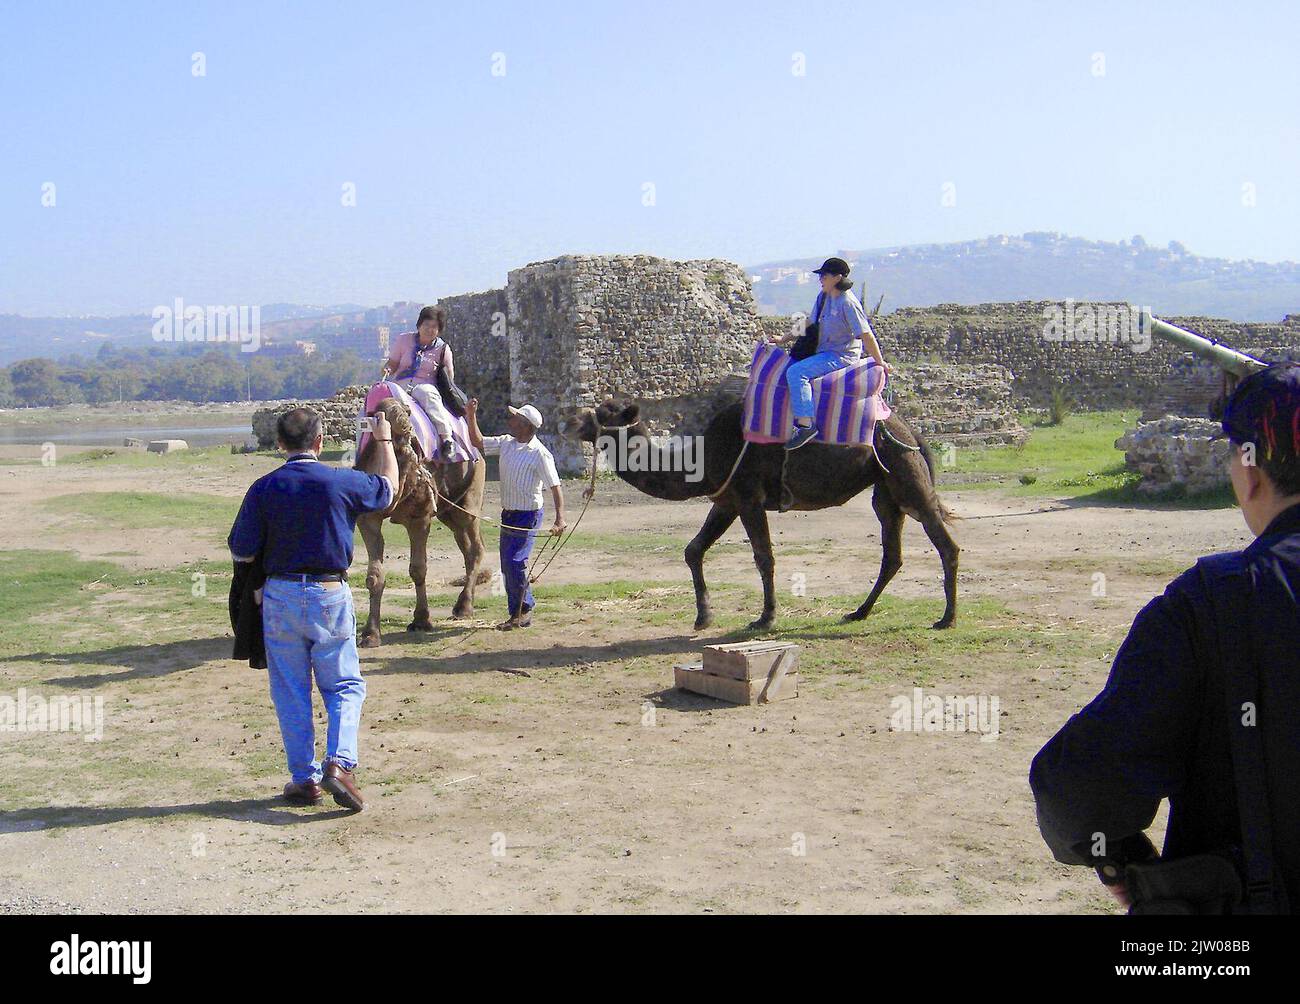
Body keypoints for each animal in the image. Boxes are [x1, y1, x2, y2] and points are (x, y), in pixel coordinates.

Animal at [356, 395, 488, 647]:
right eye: (388, 424)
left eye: (407, 418)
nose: (407, 428)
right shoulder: (368, 519)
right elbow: (374, 576)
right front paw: (370, 634)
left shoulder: (419, 517)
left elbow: (418, 569)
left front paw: (421, 620)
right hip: (448, 511)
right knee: (465, 545)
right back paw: (463, 604)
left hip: (471, 495)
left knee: (476, 545)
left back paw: (465, 607)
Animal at [564, 395, 961, 632]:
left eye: (602, 414)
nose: (568, 421)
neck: (702, 457)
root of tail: (911, 431)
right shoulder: (726, 500)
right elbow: (693, 550)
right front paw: (703, 616)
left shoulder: (748, 497)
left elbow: (763, 557)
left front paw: (765, 618)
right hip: (885, 490)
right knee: (892, 553)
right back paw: (858, 612)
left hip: (905, 473)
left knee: (945, 544)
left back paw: (946, 618)